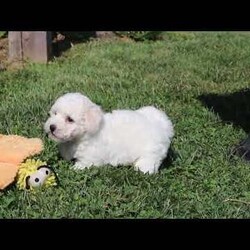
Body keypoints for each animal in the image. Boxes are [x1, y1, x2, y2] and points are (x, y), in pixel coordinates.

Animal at [44, 92, 174, 174]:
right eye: (55, 114)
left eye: (70, 119)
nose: (52, 127)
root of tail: (162, 126)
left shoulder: (90, 158)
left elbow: (83, 164)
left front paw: (73, 169)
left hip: (151, 151)